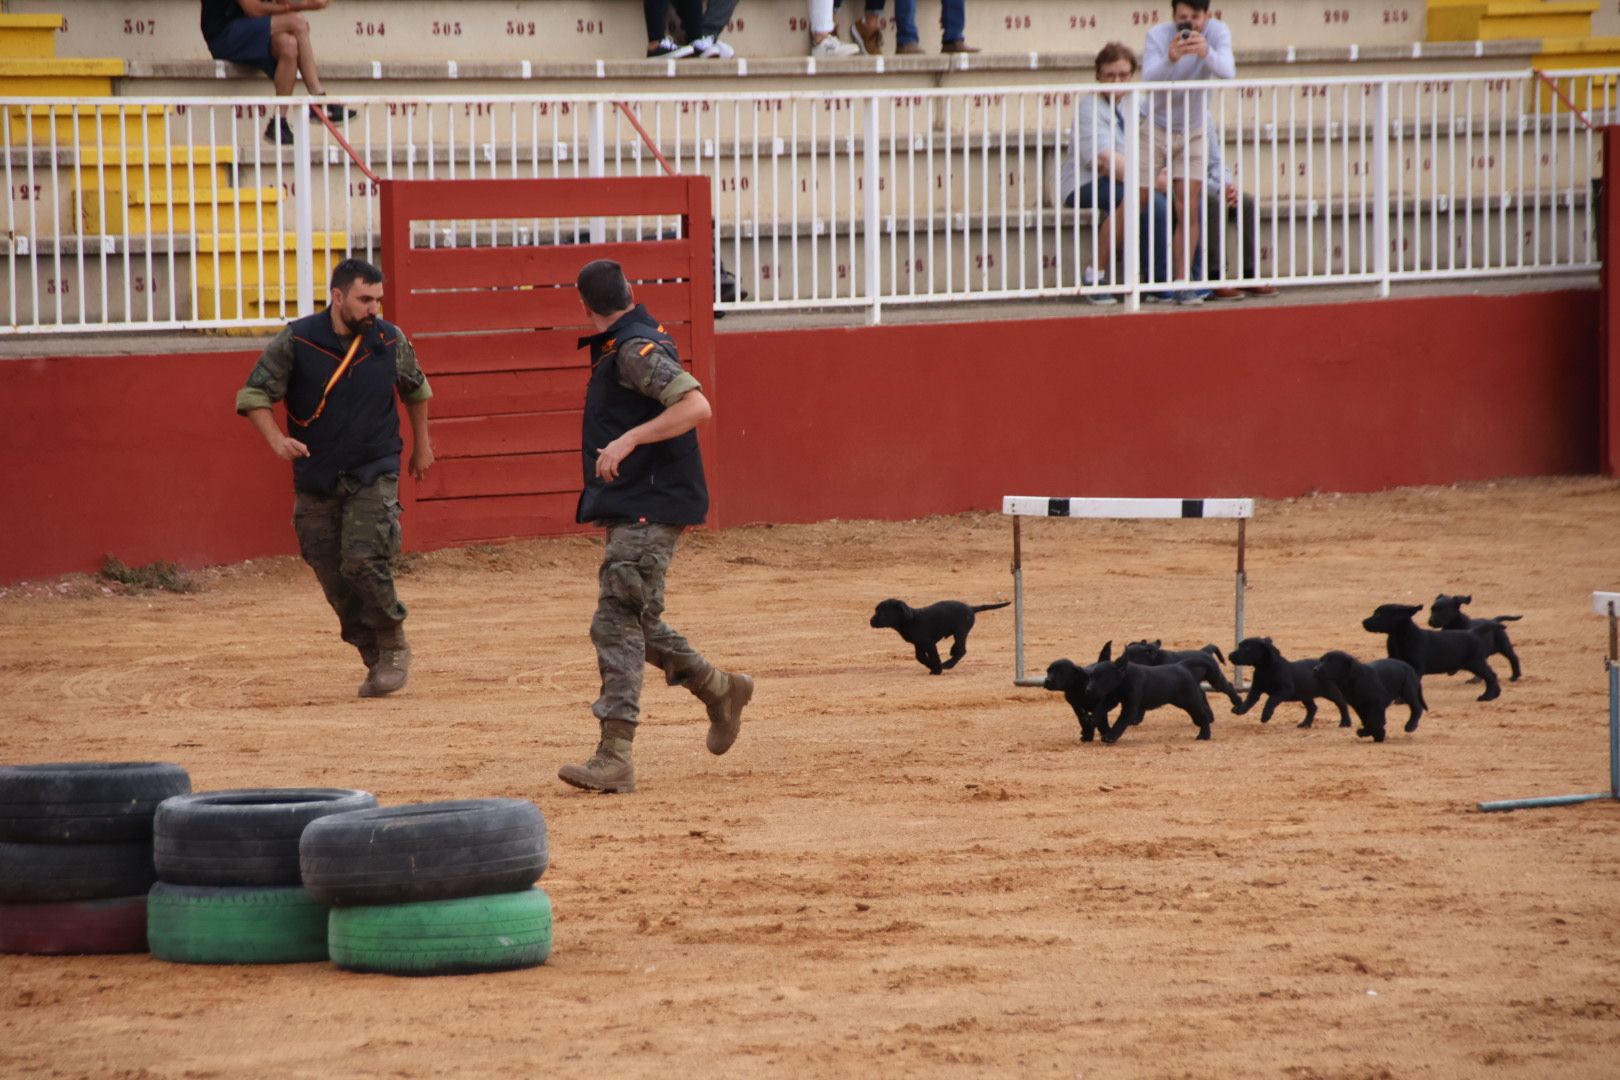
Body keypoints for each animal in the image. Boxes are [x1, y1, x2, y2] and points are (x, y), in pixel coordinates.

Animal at [868, 599, 1004, 676]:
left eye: (883, 611)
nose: (871, 621)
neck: (911, 620)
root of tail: (971, 608)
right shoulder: (918, 644)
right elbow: (920, 657)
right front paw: (932, 667)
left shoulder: (929, 643)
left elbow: (934, 656)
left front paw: (937, 669)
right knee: (959, 649)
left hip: (960, 632)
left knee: (961, 650)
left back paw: (948, 664)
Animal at [1224, 637, 1354, 731]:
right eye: (1240, 646)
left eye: (1247, 648)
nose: (1230, 656)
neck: (1265, 669)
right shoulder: (1256, 689)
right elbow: (1249, 701)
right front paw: (1240, 709)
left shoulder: (1285, 689)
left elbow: (1271, 700)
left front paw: (1266, 716)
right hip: (1305, 695)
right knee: (1313, 708)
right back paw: (1305, 724)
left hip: (1331, 692)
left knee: (1342, 704)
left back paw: (1345, 723)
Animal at [1360, 599, 1496, 702]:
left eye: (1379, 614)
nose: (1363, 622)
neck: (1401, 638)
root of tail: (1474, 632)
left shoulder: (1416, 666)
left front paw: (1401, 700)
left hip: (1475, 663)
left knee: (1490, 675)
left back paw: (1489, 695)